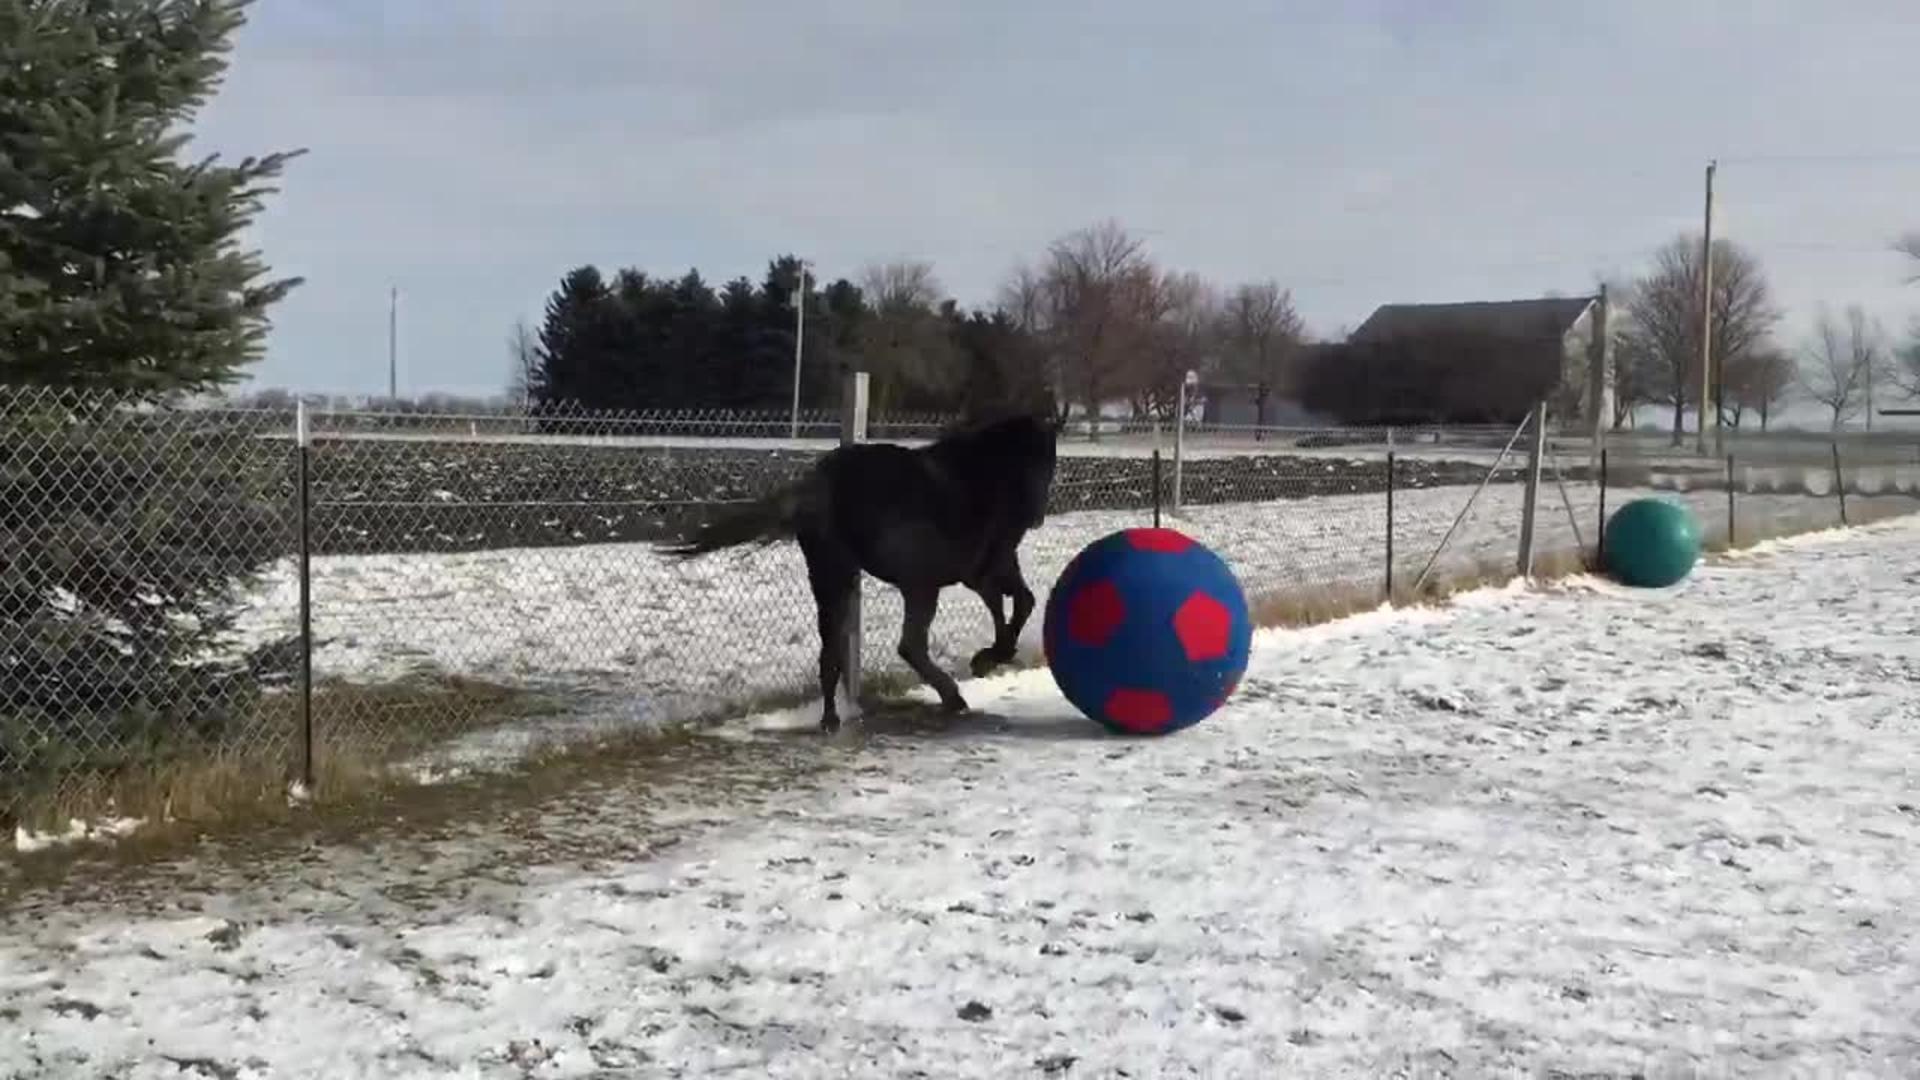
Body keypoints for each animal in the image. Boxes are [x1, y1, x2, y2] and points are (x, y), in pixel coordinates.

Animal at [656, 412, 1060, 733]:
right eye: (1029, 461)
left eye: (1049, 463)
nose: (1037, 515)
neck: (980, 479)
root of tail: (822, 481)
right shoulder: (989, 566)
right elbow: (1021, 603)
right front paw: (989, 658)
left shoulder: (981, 573)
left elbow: (1009, 606)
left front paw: (988, 657)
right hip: (913, 583)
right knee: (909, 644)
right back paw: (951, 697)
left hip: (833, 576)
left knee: (834, 650)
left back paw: (833, 718)